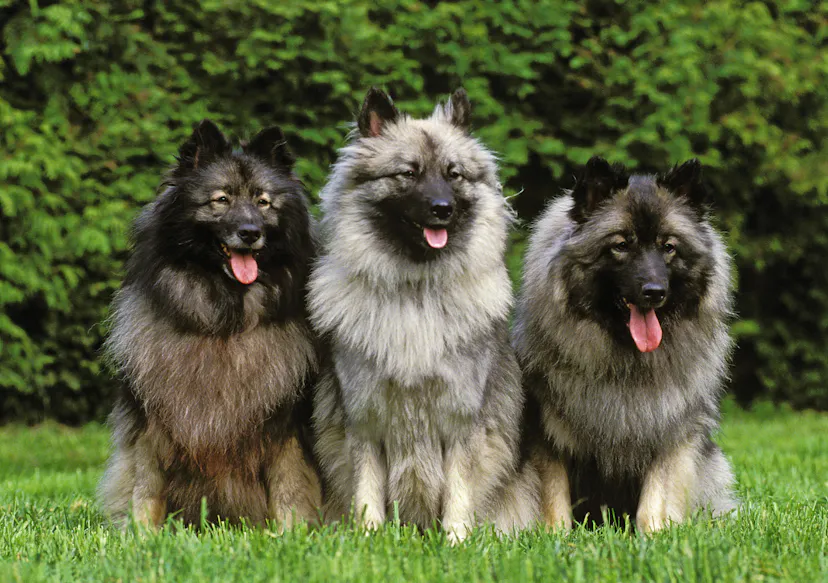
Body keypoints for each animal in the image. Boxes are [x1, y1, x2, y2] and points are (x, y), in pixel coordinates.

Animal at [98, 120, 322, 528]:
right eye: (221, 200)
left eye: (263, 202)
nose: (250, 232)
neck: (224, 324)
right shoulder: (152, 424)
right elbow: (146, 487)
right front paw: (142, 534)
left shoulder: (287, 428)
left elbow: (290, 490)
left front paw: (291, 533)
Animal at [308, 88, 537, 541]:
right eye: (408, 173)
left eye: (454, 174)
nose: (442, 208)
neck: (415, 292)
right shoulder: (365, 422)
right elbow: (366, 491)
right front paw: (370, 539)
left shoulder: (461, 421)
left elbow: (459, 492)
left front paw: (456, 541)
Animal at [513, 157, 738, 532]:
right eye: (621, 245)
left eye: (668, 246)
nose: (654, 292)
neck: (626, 359)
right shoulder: (547, 433)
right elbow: (554, 496)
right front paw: (555, 536)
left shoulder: (669, 431)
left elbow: (655, 497)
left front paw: (656, 534)